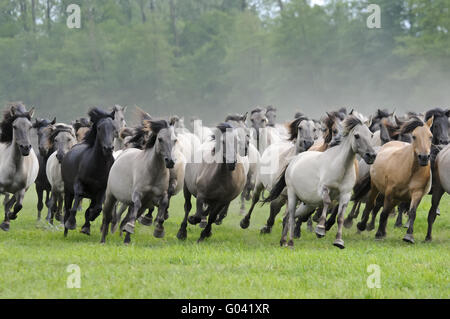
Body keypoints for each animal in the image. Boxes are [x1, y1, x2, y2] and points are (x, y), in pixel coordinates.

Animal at [362, 116, 432, 244]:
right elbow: (384, 212)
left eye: (430, 136)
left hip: (397, 197)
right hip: (376, 187)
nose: (424, 157)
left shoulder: (417, 193)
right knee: (371, 204)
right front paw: (378, 234)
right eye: (414, 136)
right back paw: (363, 226)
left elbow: (412, 213)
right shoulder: (390, 192)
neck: (410, 170)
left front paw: (409, 236)